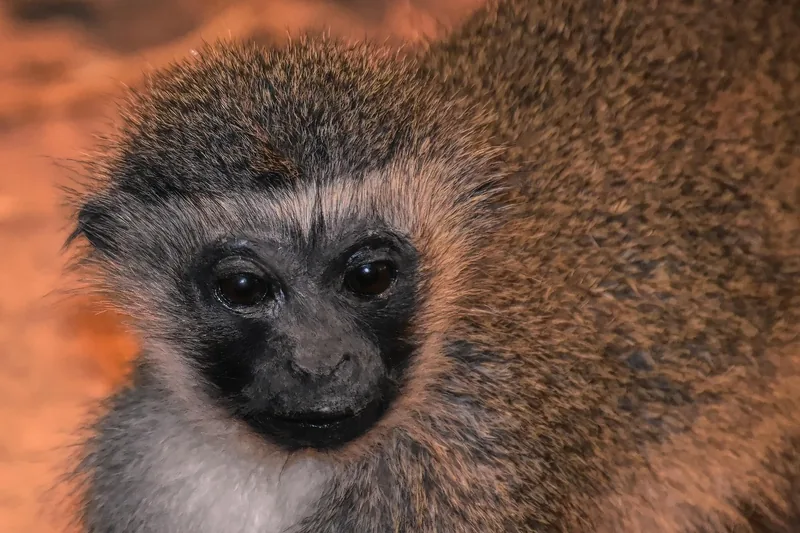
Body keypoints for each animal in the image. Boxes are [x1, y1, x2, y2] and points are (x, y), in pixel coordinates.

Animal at [63, 0, 800, 531]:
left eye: (369, 277)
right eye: (244, 287)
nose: (320, 361)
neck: (280, 471)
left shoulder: (469, 464)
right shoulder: (142, 466)